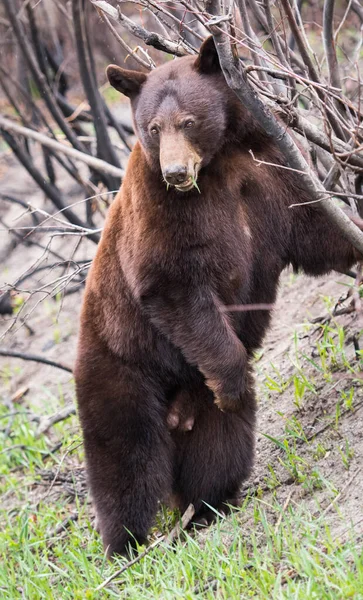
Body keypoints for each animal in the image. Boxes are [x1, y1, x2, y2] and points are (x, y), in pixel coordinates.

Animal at [73, 35, 358, 556]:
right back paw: (126, 542)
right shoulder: (159, 209)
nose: (175, 171)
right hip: (122, 362)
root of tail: (176, 412)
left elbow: (315, 229)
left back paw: (209, 506)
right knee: (126, 456)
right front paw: (229, 375)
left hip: (197, 404)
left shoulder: (265, 164)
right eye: (152, 128)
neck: (218, 160)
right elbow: (173, 285)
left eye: (188, 121)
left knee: (218, 447)